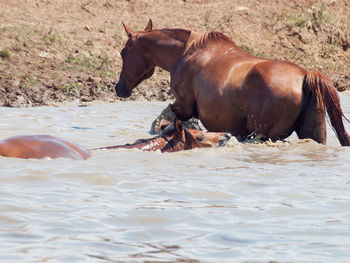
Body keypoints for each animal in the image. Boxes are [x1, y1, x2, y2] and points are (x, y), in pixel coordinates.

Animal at [115, 19, 350, 147]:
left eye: (123, 52)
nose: (119, 88)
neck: (183, 54)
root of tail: (305, 75)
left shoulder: (184, 104)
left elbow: (162, 119)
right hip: (312, 131)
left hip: (263, 134)